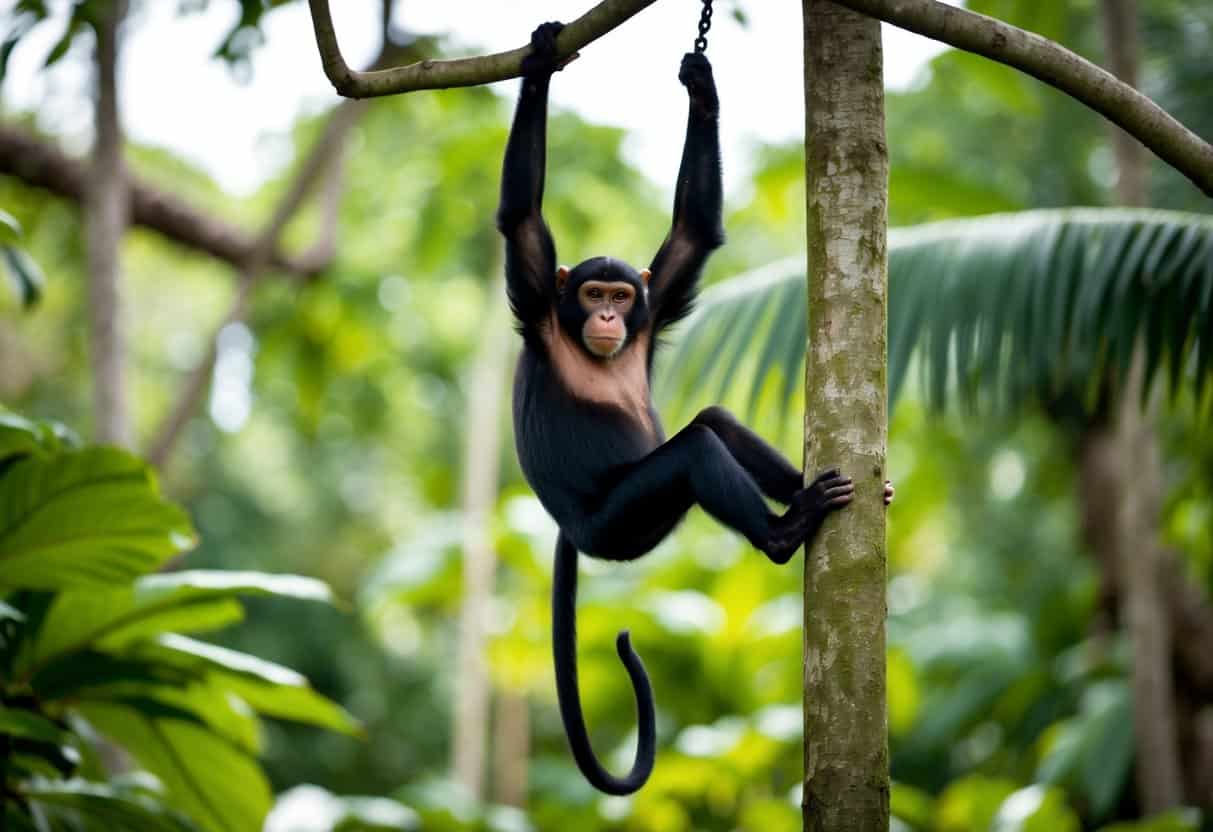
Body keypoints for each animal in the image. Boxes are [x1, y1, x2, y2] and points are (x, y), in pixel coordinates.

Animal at [497, 22, 893, 795]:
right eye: (592, 293)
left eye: (621, 296)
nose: (608, 317)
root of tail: (570, 532)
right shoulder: (538, 298)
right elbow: (521, 217)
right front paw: (540, 60)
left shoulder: (657, 306)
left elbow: (691, 234)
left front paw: (702, 87)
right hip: (623, 525)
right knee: (692, 452)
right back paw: (783, 532)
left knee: (712, 423)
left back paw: (816, 491)